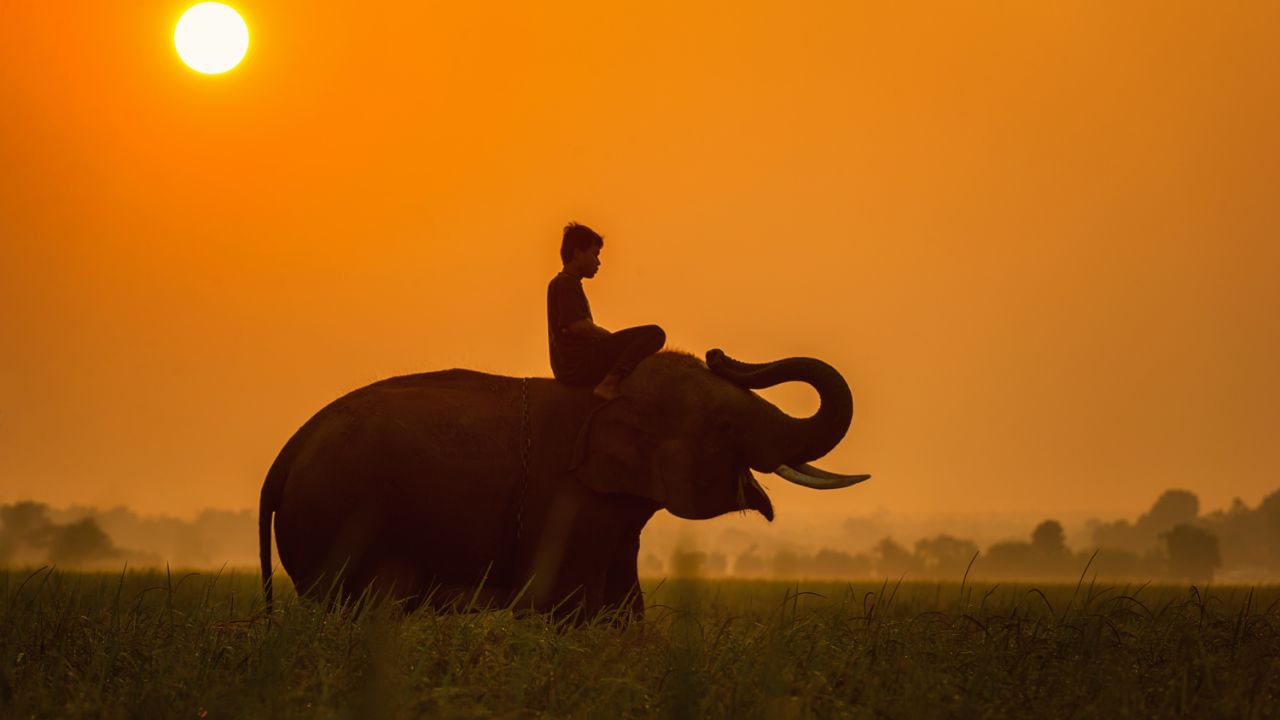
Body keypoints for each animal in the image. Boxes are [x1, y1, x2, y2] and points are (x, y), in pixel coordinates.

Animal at [259, 348, 870, 617]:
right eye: (725, 426)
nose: (719, 352)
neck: (612, 391)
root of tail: (284, 455)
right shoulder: (567, 499)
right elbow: (568, 603)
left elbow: (623, 606)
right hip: (337, 520)